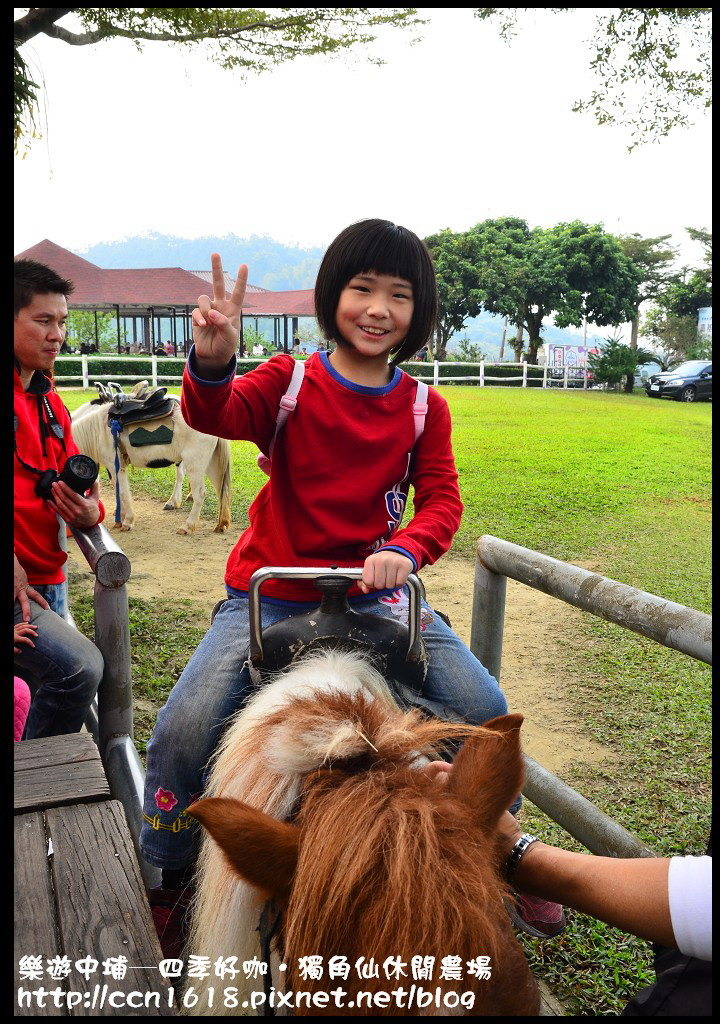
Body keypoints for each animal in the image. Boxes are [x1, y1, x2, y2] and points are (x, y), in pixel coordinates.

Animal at [70, 380, 231, 532]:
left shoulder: (116, 466)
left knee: (200, 493)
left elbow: (122, 492)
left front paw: (127, 521)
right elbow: (118, 489)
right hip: (210, 463)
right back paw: (220, 524)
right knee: (220, 489)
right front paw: (120, 516)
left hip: (195, 464)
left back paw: (187, 526)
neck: (98, 429)